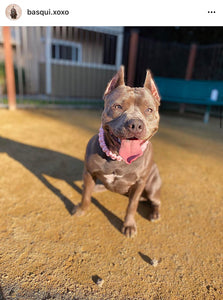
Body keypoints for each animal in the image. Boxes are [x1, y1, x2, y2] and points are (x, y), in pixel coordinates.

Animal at [74, 65, 161, 237]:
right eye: (117, 107)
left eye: (149, 110)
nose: (135, 124)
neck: (118, 158)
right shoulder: (89, 172)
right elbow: (86, 195)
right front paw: (82, 209)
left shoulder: (140, 183)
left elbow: (132, 205)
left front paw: (129, 225)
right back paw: (98, 188)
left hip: (152, 186)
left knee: (156, 202)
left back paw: (155, 213)